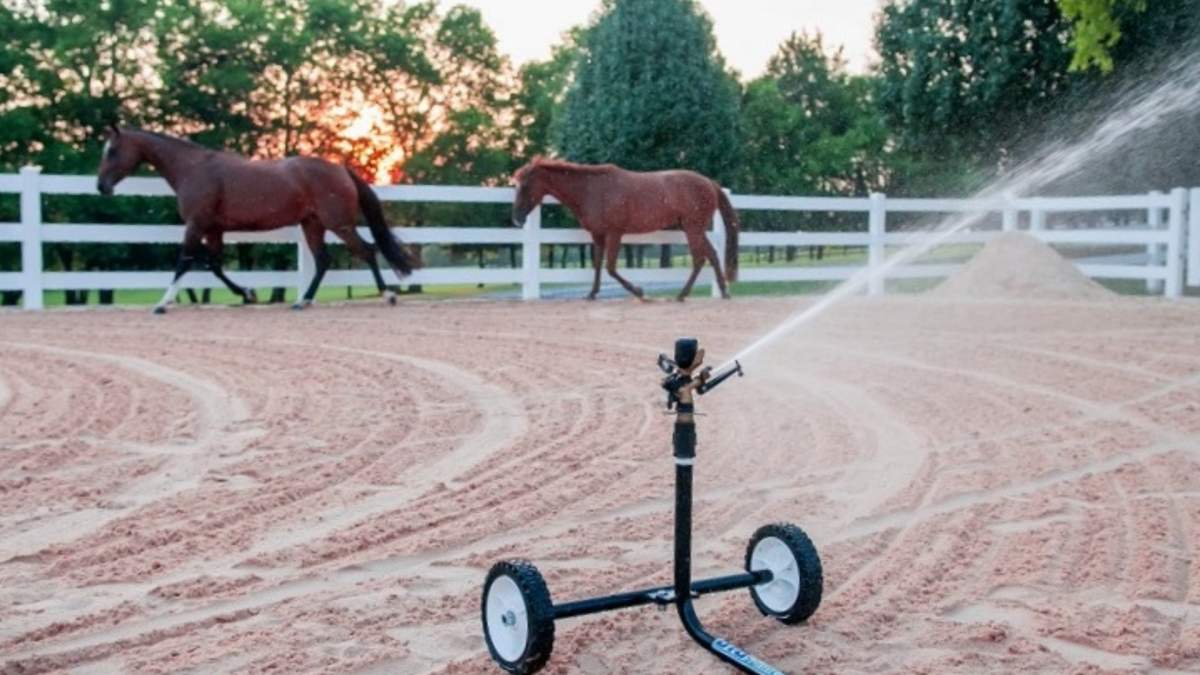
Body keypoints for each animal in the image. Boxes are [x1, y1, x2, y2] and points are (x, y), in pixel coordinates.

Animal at [96, 125, 419, 313]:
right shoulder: (214, 230)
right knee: (323, 260)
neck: (193, 169)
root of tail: (341, 170)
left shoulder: (196, 225)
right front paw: (248, 293)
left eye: (112, 151)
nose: (101, 187)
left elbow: (184, 261)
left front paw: (163, 303)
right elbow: (214, 265)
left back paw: (388, 295)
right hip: (312, 224)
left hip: (338, 224)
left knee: (367, 251)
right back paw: (302, 301)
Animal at [511, 158, 739, 301]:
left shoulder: (614, 233)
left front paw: (639, 292)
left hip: (693, 229)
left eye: (525, 185)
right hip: (694, 229)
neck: (592, 190)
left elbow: (610, 268)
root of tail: (710, 183)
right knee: (712, 255)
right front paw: (592, 294)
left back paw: (682, 295)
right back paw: (724, 292)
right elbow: (597, 265)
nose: (516, 219)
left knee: (700, 259)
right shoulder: (598, 235)